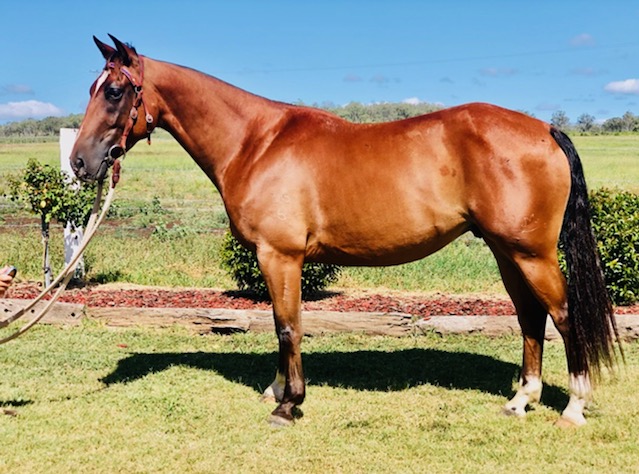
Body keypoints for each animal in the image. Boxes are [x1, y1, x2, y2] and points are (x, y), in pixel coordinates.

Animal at [70, 35, 619, 427]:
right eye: (92, 89)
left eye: (114, 91)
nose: (80, 163)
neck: (256, 142)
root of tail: (544, 129)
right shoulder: (277, 260)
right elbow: (282, 323)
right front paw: (277, 390)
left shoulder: (279, 256)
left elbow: (287, 326)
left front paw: (288, 405)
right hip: (508, 252)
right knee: (530, 317)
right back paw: (521, 399)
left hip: (532, 253)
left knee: (564, 315)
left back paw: (572, 407)